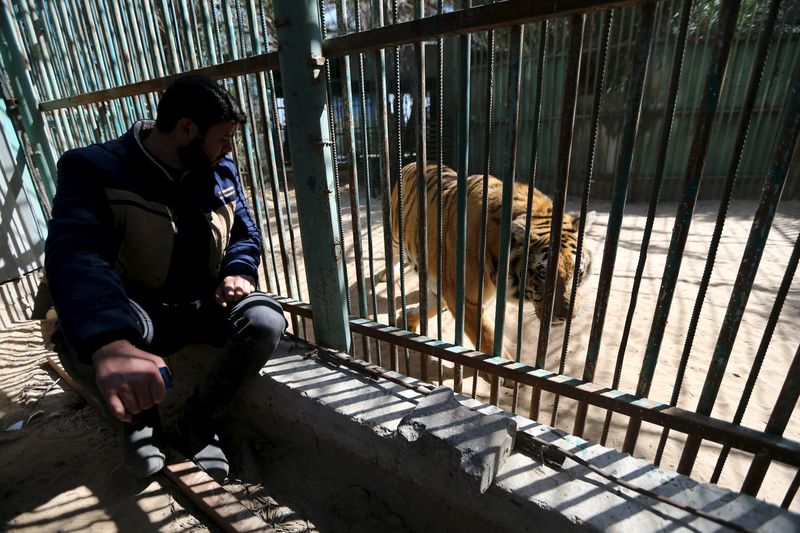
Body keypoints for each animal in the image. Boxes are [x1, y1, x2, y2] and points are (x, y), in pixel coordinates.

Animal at [382, 161, 592, 362]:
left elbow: (431, 306)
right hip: (395, 236)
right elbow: (487, 340)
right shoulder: (465, 298)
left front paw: (408, 319)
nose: (567, 315)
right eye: (543, 274)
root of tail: (410, 164)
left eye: (579, 274)